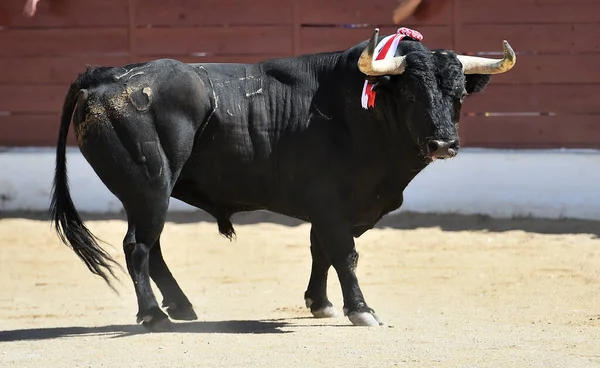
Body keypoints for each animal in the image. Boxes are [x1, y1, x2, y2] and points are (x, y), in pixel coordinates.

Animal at [50, 27, 516, 330]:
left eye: (458, 94)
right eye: (411, 92)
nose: (444, 143)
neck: (359, 113)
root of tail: (104, 75)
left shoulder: (335, 209)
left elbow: (321, 251)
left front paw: (321, 304)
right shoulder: (330, 203)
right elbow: (344, 254)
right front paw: (361, 310)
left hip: (149, 195)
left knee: (152, 245)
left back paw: (180, 307)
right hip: (148, 186)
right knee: (138, 246)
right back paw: (153, 315)